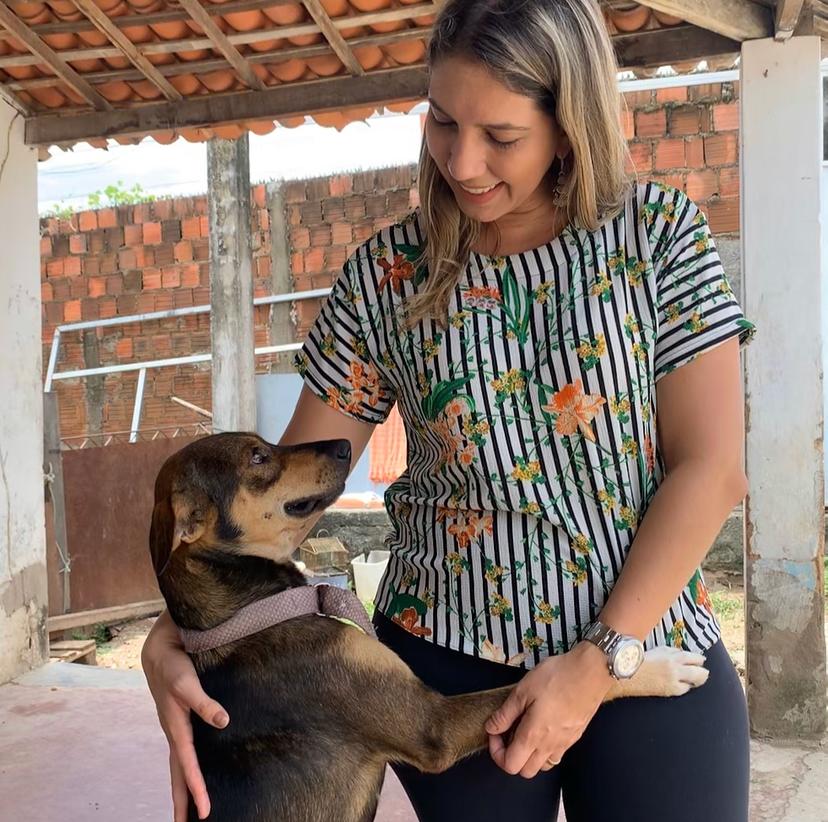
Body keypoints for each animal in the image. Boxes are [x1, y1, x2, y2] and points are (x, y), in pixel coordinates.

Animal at [149, 434, 712, 820]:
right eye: (257, 458)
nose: (343, 444)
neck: (244, 614)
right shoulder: (433, 727)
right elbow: (539, 678)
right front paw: (661, 667)